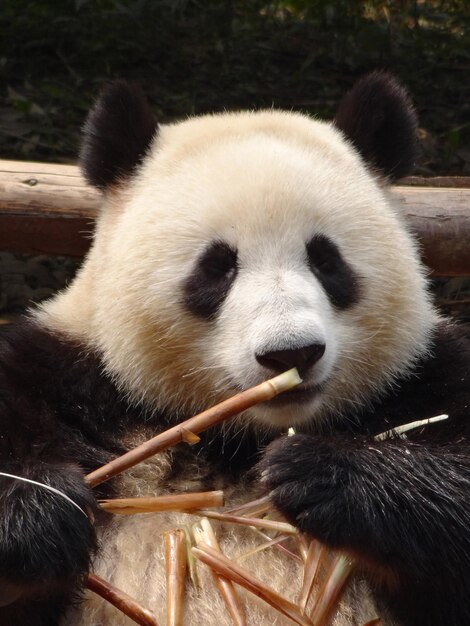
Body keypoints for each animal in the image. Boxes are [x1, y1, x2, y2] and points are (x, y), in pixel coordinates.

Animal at [0, 73, 470, 624]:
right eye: (218, 266)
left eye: (326, 260)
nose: (291, 354)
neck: (237, 441)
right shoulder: (63, 376)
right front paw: (44, 511)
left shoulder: (426, 374)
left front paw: (320, 475)